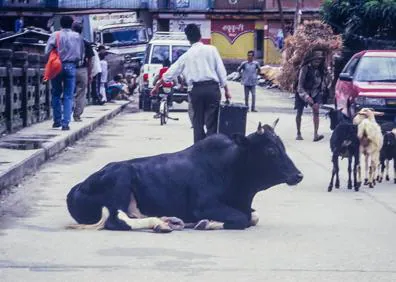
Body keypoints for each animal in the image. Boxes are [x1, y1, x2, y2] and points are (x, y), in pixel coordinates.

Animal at [67, 119, 304, 231]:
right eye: (270, 151)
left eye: (282, 146)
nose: (298, 175)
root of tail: (77, 188)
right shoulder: (204, 205)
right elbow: (241, 219)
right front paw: (208, 223)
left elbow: (253, 217)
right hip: (121, 182)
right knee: (117, 220)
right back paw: (163, 225)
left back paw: (169, 221)